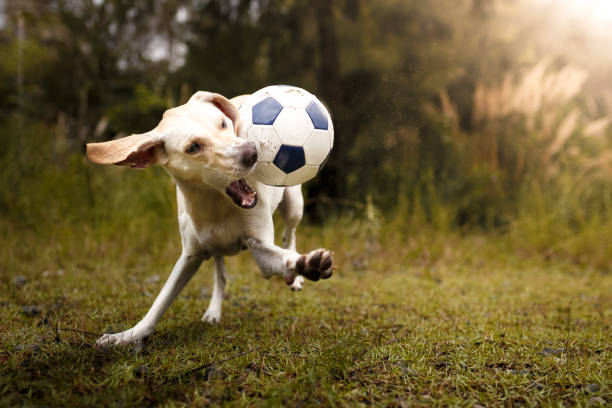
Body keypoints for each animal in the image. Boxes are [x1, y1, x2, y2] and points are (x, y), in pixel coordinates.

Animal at [85, 91, 334, 346]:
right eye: (193, 147)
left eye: (223, 123)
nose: (251, 152)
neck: (216, 203)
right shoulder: (190, 255)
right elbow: (160, 302)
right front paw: (127, 335)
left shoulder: (260, 248)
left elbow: (283, 257)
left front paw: (305, 264)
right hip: (216, 246)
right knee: (220, 274)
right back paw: (214, 310)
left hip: (294, 203)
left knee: (289, 233)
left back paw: (295, 275)